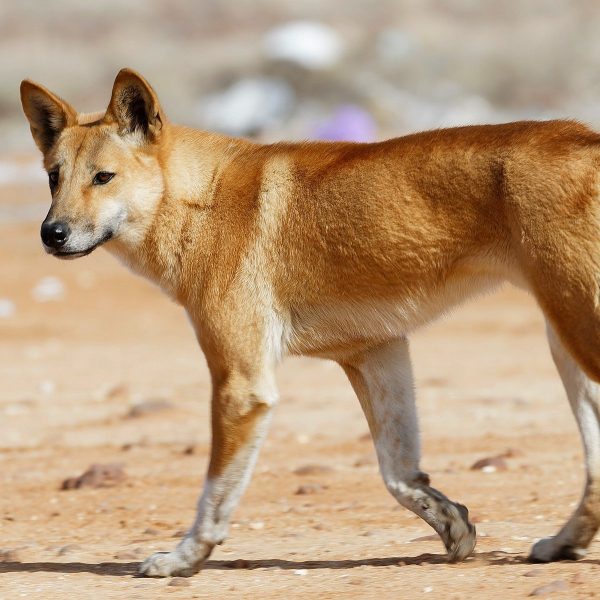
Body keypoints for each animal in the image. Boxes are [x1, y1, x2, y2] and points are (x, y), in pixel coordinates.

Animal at [18, 68, 600, 576]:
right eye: (52, 178)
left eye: (103, 177)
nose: (51, 233)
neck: (199, 201)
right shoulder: (375, 351)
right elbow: (398, 473)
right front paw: (453, 526)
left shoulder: (243, 386)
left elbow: (215, 497)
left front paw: (184, 559)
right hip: (563, 340)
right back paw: (565, 542)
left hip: (576, 328)